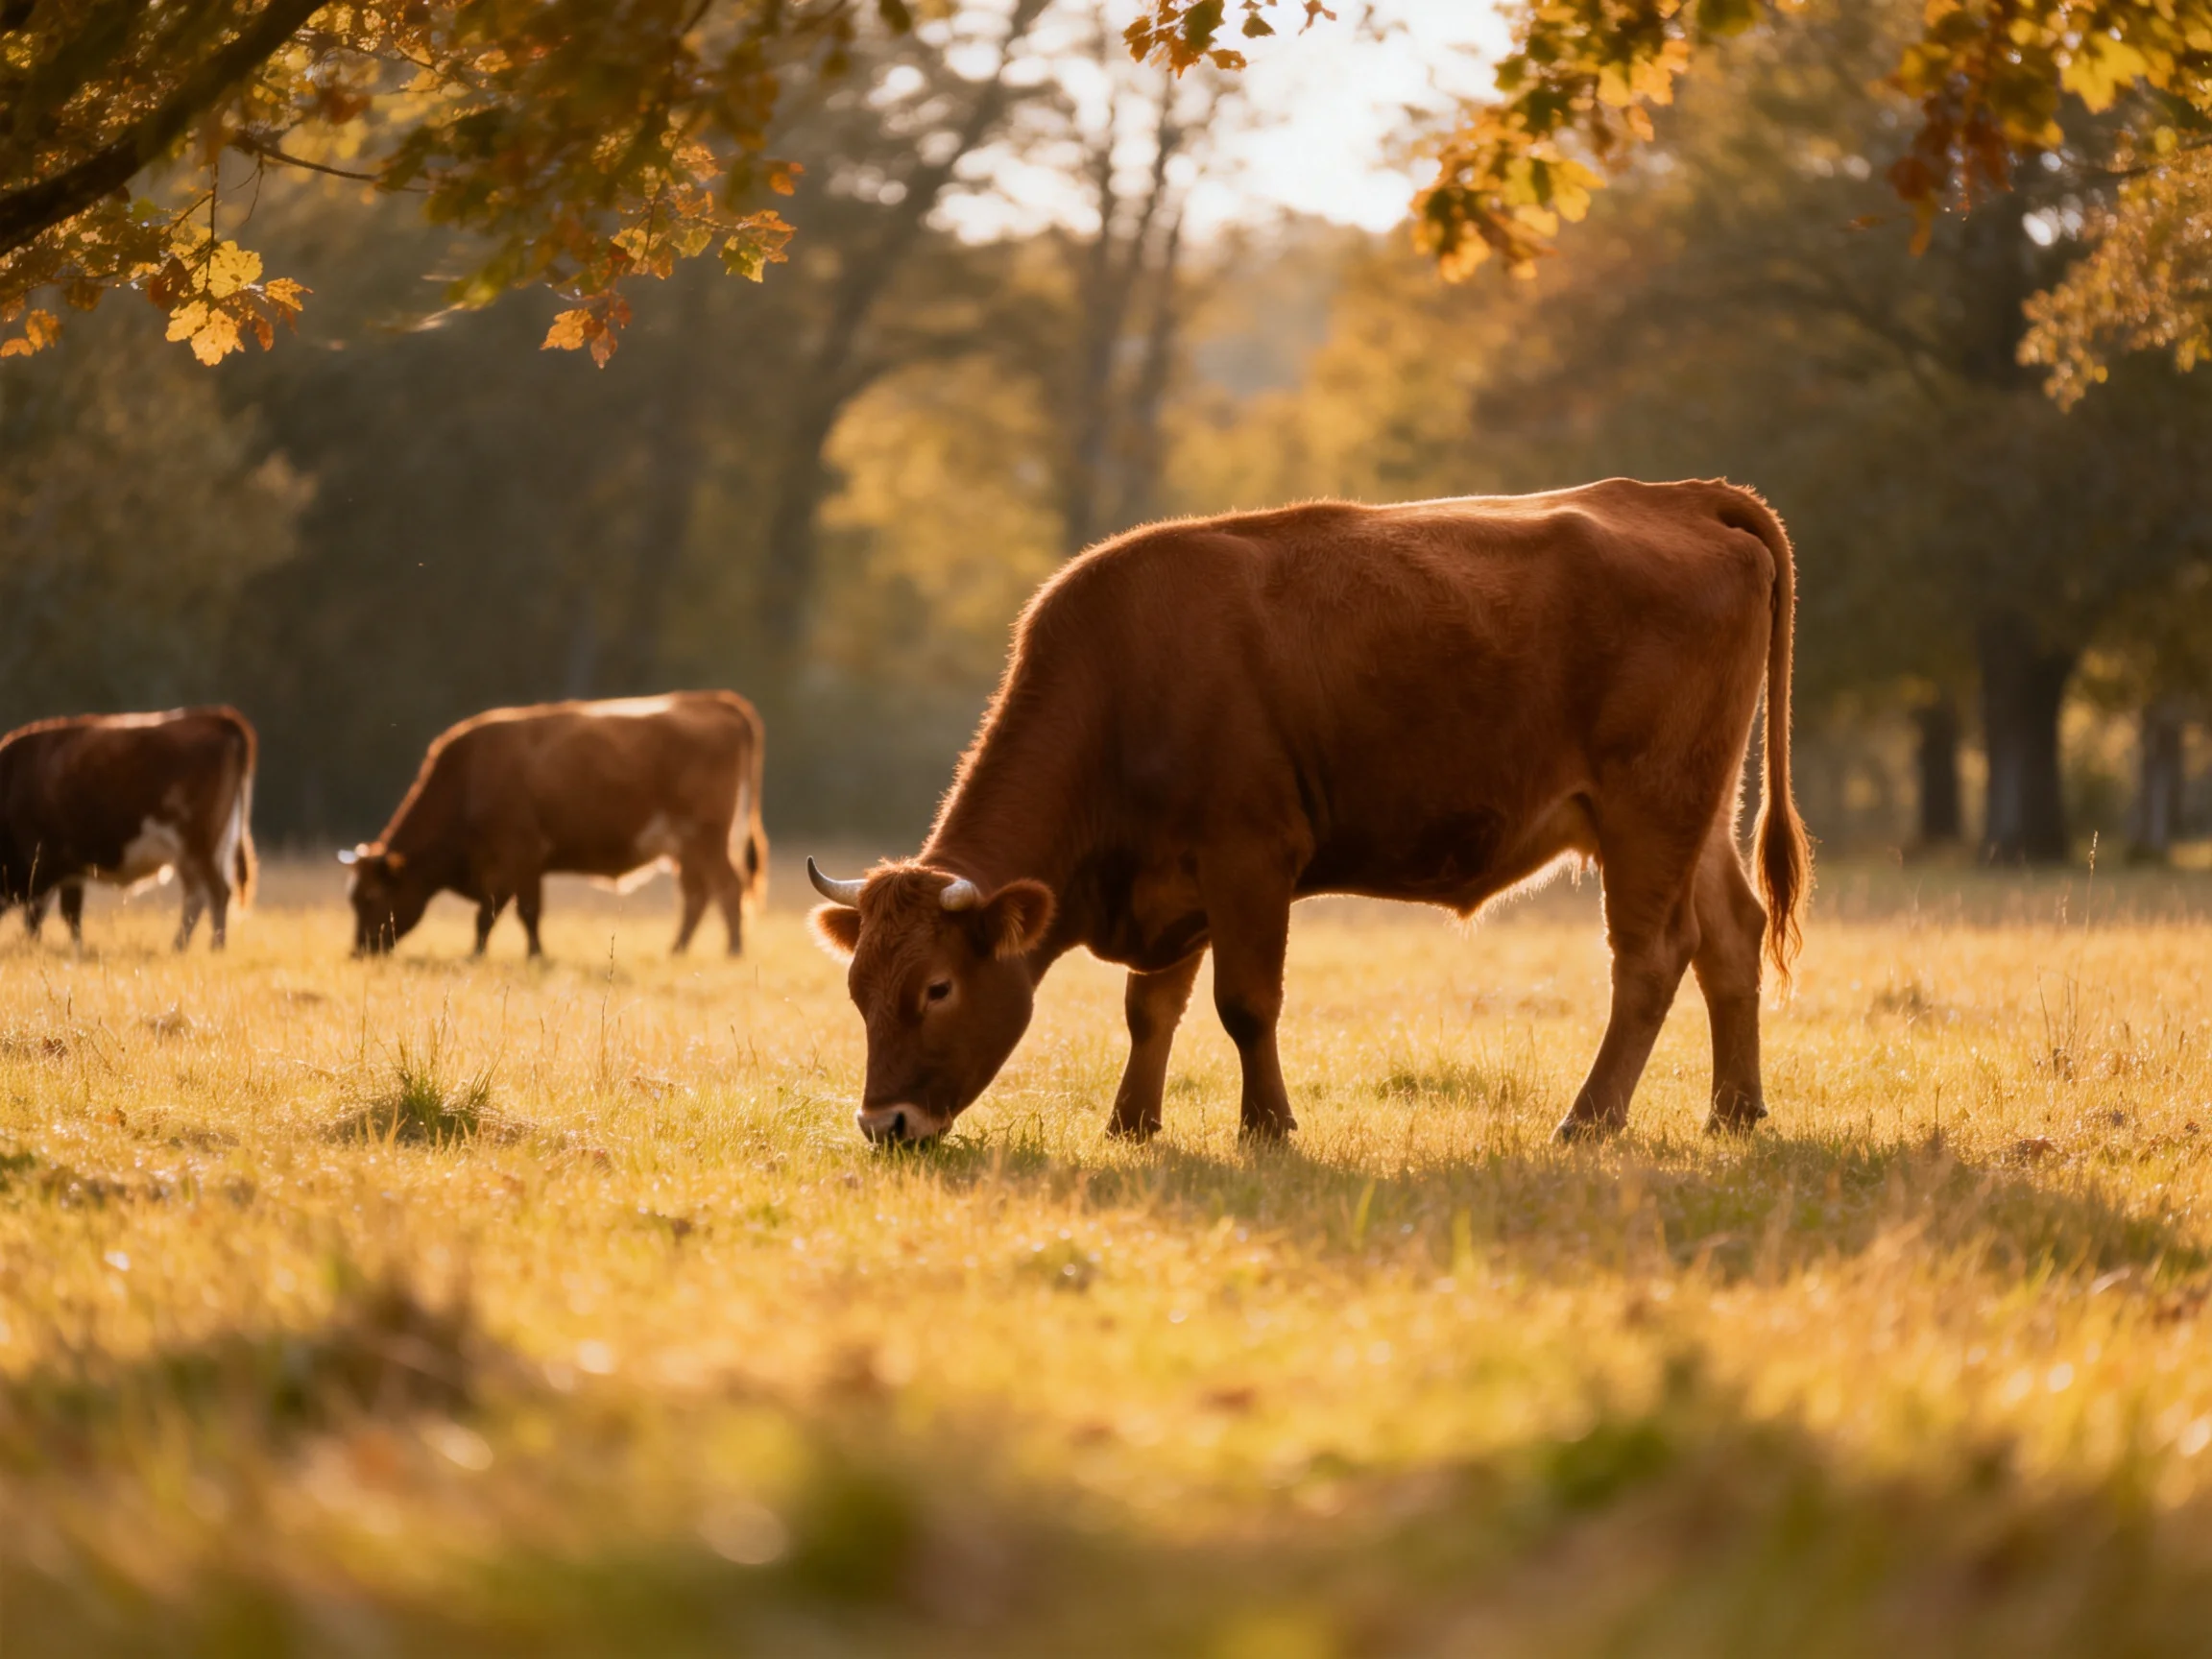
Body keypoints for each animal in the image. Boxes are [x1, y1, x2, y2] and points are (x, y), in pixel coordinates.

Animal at [0, 707, 258, 951]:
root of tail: (218, 717)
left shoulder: (52, 865)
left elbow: (53, 917)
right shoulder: (63, 872)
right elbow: (56, 917)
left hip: (197, 845)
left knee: (217, 892)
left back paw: (215, 948)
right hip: (205, 848)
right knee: (198, 895)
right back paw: (180, 947)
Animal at [341, 691, 767, 958]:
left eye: (371, 897)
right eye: (353, 899)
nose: (359, 951)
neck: (469, 781)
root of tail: (715, 701)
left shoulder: (520, 857)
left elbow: (504, 914)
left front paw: (494, 956)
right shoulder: (523, 867)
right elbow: (510, 914)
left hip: (707, 838)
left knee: (728, 889)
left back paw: (733, 951)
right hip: (686, 848)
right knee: (697, 895)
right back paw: (677, 950)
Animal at [807, 479, 1811, 1147]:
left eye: (938, 988)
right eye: (858, 989)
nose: (885, 1123)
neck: (1126, 679)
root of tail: (1678, 496)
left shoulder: (1249, 857)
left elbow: (1244, 1004)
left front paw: (1267, 1125)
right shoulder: (1179, 885)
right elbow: (1150, 1007)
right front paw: (1132, 1123)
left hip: (1649, 807)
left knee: (1651, 958)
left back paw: (1590, 1119)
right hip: (1697, 813)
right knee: (1730, 937)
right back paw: (1733, 1110)